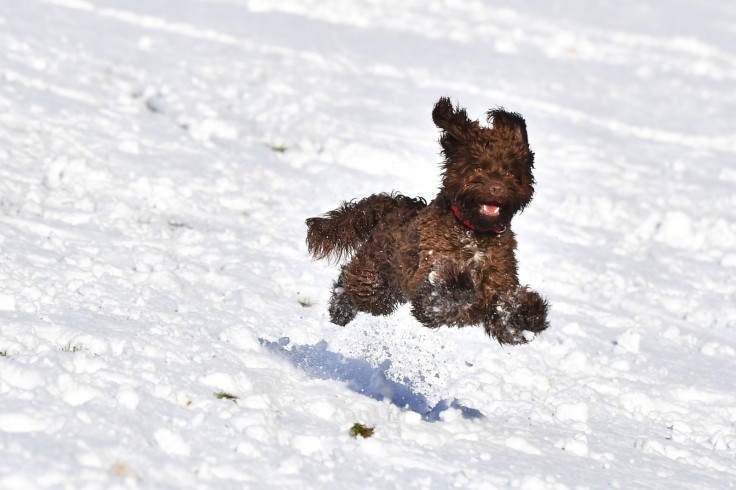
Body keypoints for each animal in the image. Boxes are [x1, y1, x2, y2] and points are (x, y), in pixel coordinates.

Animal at [304, 96, 548, 344]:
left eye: (509, 172)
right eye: (478, 167)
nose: (496, 187)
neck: (475, 232)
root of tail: (395, 202)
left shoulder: (498, 284)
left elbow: (504, 317)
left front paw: (527, 312)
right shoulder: (427, 280)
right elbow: (446, 295)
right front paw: (458, 284)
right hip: (377, 278)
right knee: (353, 283)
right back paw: (340, 310)